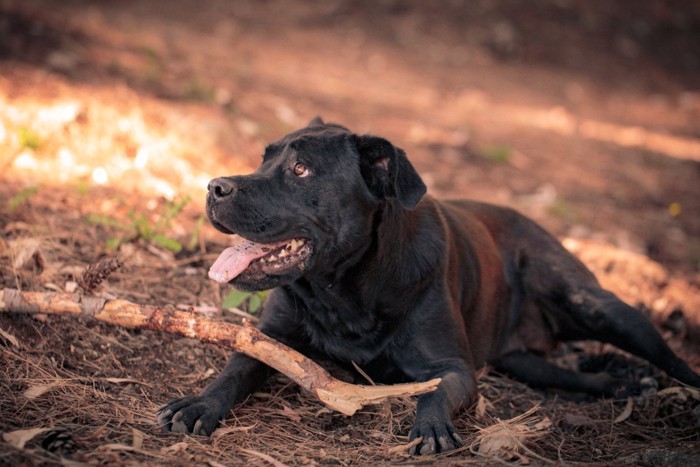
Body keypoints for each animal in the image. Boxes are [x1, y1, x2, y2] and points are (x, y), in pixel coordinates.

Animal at [159, 119, 700, 456]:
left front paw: (432, 427)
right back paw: (621, 385)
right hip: (523, 361)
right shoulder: (269, 341)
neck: (346, 293)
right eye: (263, 159)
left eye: (300, 169)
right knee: (572, 378)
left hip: (598, 306)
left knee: (672, 359)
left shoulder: (454, 367)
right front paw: (200, 404)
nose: (214, 186)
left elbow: (433, 393)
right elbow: (235, 369)